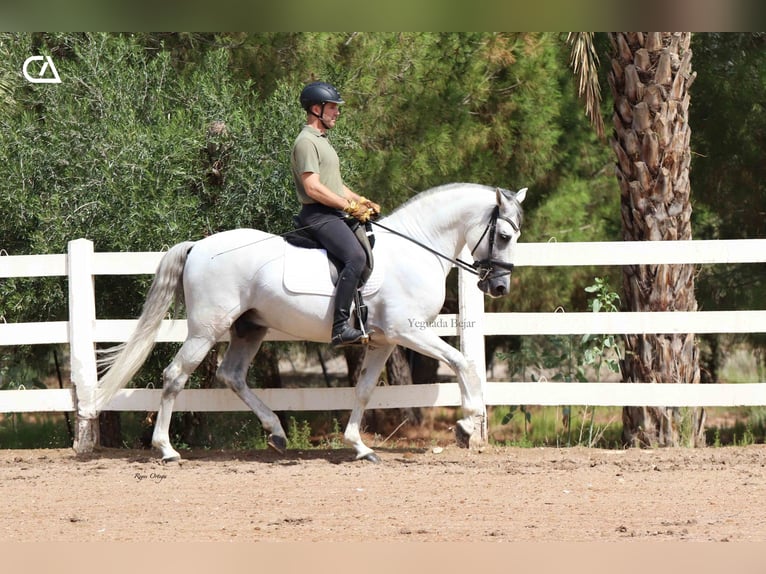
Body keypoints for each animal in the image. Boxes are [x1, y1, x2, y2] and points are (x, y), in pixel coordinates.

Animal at [96, 184, 524, 464]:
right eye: (504, 235)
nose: (500, 287)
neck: (416, 249)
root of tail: (198, 246)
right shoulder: (408, 331)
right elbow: (464, 362)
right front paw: (468, 423)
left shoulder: (384, 342)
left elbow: (364, 391)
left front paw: (360, 447)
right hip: (207, 329)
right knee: (175, 376)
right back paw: (167, 450)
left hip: (249, 328)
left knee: (232, 375)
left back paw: (277, 433)